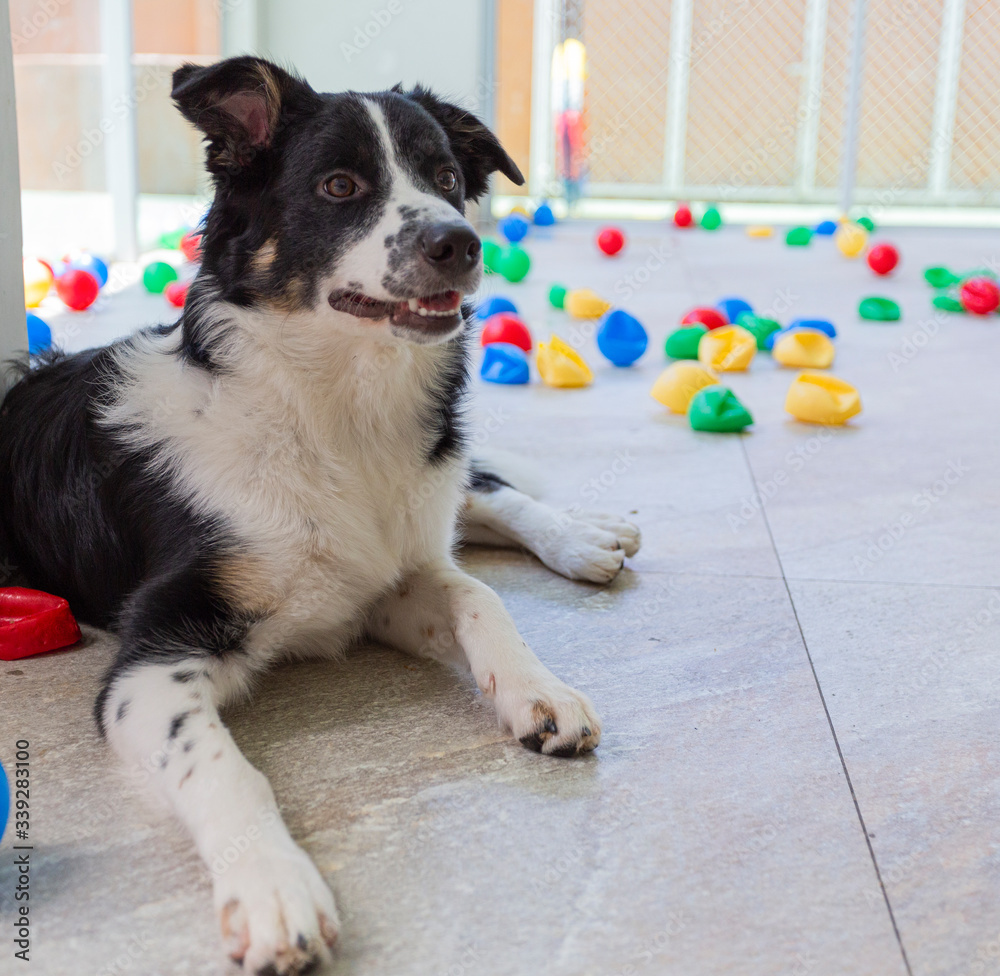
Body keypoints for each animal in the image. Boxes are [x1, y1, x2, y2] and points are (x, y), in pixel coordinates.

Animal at [0, 57, 640, 972]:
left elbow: (479, 596)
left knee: (477, 487)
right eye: (340, 186)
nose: (459, 242)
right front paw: (274, 889)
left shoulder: (384, 578)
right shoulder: (154, 656)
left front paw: (539, 689)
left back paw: (583, 534)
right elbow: (223, 766)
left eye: (448, 179)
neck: (332, 412)